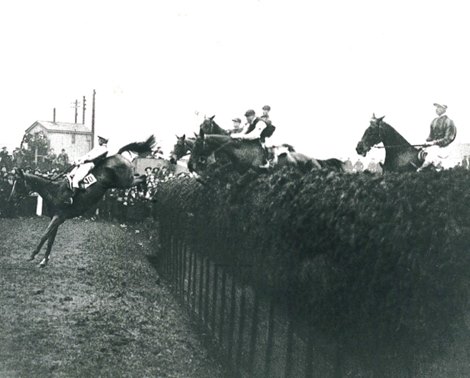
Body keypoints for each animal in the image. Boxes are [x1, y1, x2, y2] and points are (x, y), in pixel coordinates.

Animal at [9, 134, 156, 268]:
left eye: (19, 183)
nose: (11, 199)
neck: (55, 191)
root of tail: (119, 155)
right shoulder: (55, 218)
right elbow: (50, 239)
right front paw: (44, 261)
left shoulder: (58, 217)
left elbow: (44, 235)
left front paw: (32, 255)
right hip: (125, 181)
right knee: (141, 177)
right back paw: (144, 191)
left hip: (125, 182)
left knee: (142, 177)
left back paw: (145, 192)